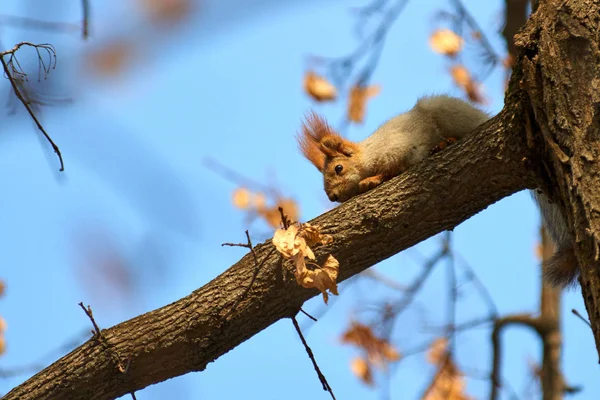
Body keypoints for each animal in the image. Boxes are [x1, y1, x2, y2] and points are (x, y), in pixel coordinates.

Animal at [298, 94, 580, 288]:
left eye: (338, 168)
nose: (332, 197)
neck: (369, 154)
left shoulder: (400, 147)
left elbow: (397, 166)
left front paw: (373, 179)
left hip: (446, 111)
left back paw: (446, 143)